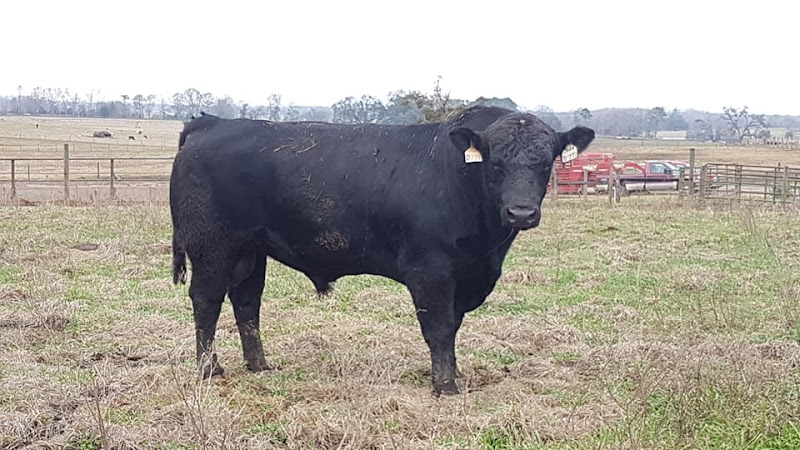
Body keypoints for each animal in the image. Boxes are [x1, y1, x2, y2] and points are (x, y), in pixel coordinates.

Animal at [170, 106, 595, 395]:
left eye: (546, 162)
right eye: (496, 163)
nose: (520, 212)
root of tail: (213, 122)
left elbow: (453, 326)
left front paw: (454, 375)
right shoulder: (431, 271)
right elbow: (440, 328)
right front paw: (446, 387)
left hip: (250, 251)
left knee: (246, 303)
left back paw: (259, 366)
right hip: (213, 247)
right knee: (206, 300)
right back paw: (209, 369)